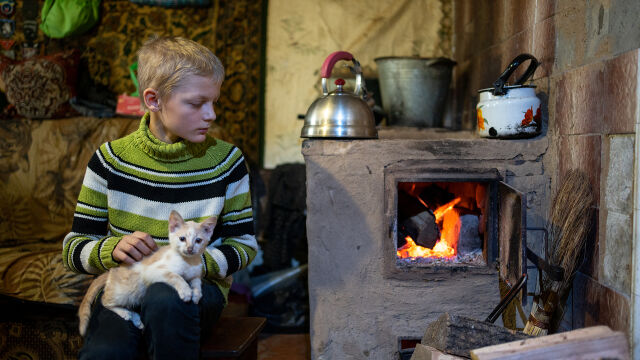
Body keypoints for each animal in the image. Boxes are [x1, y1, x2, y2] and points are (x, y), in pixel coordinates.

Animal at [78, 210, 216, 336]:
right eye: (182, 239)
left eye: (198, 240)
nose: (190, 249)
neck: (188, 262)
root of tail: (111, 271)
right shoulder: (152, 270)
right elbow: (175, 276)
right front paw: (186, 291)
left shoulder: (195, 273)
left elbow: (197, 282)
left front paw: (196, 294)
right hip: (124, 292)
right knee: (105, 300)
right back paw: (125, 313)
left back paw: (136, 319)